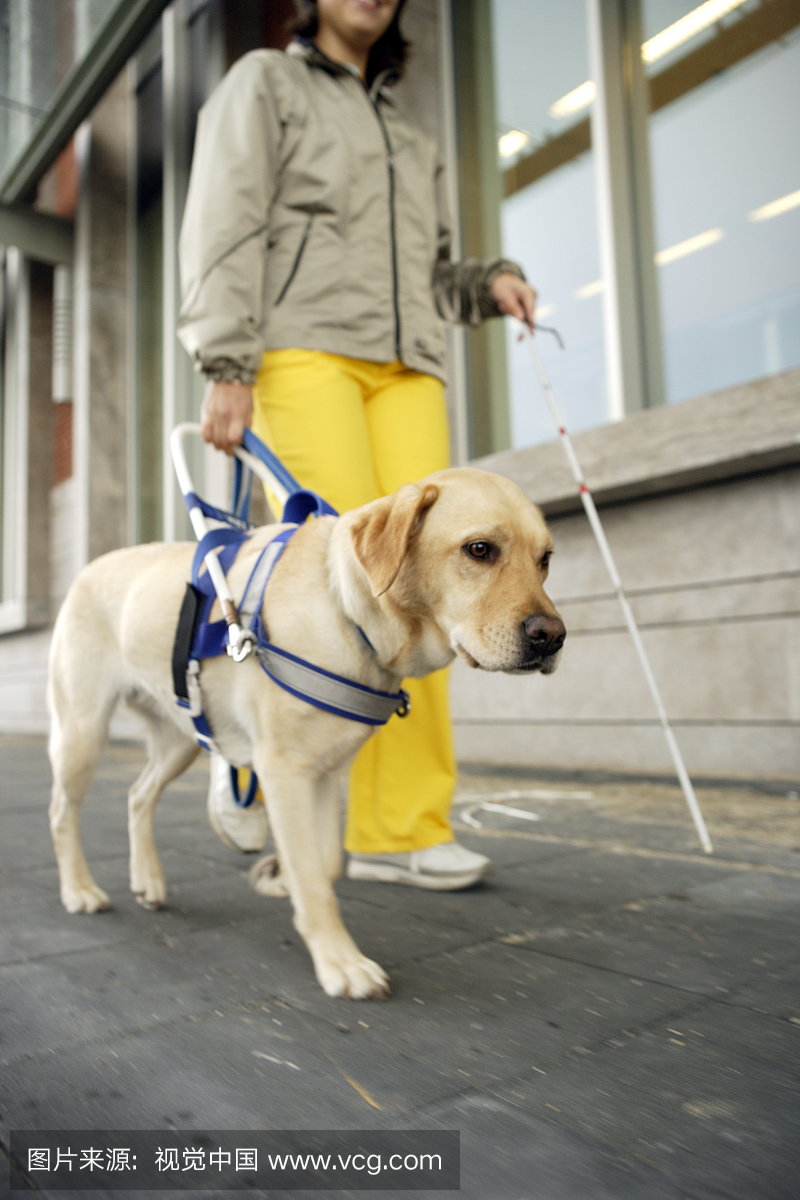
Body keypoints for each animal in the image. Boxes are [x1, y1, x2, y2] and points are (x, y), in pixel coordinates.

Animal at [47, 468, 566, 1003]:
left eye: (545, 559)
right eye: (479, 549)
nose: (553, 636)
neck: (345, 609)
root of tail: (88, 569)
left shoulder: (324, 772)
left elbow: (327, 864)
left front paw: (282, 879)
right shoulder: (284, 771)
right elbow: (317, 880)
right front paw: (341, 962)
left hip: (182, 737)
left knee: (137, 795)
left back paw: (147, 880)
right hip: (83, 731)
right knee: (62, 810)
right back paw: (79, 890)